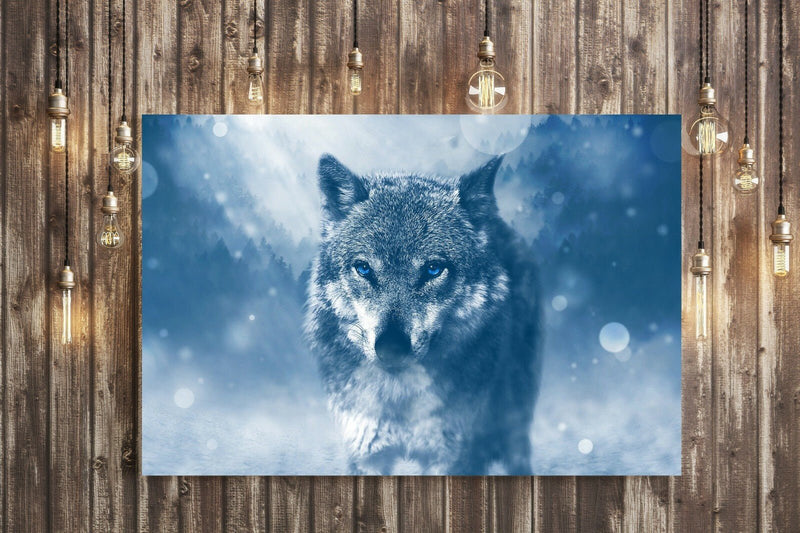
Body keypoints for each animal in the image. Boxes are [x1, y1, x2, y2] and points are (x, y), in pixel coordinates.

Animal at [305, 154, 541, 475]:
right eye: (364, 268)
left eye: (433, 269)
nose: (391, 347)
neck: (400, 398)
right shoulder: (366, 453)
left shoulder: (452, 456)